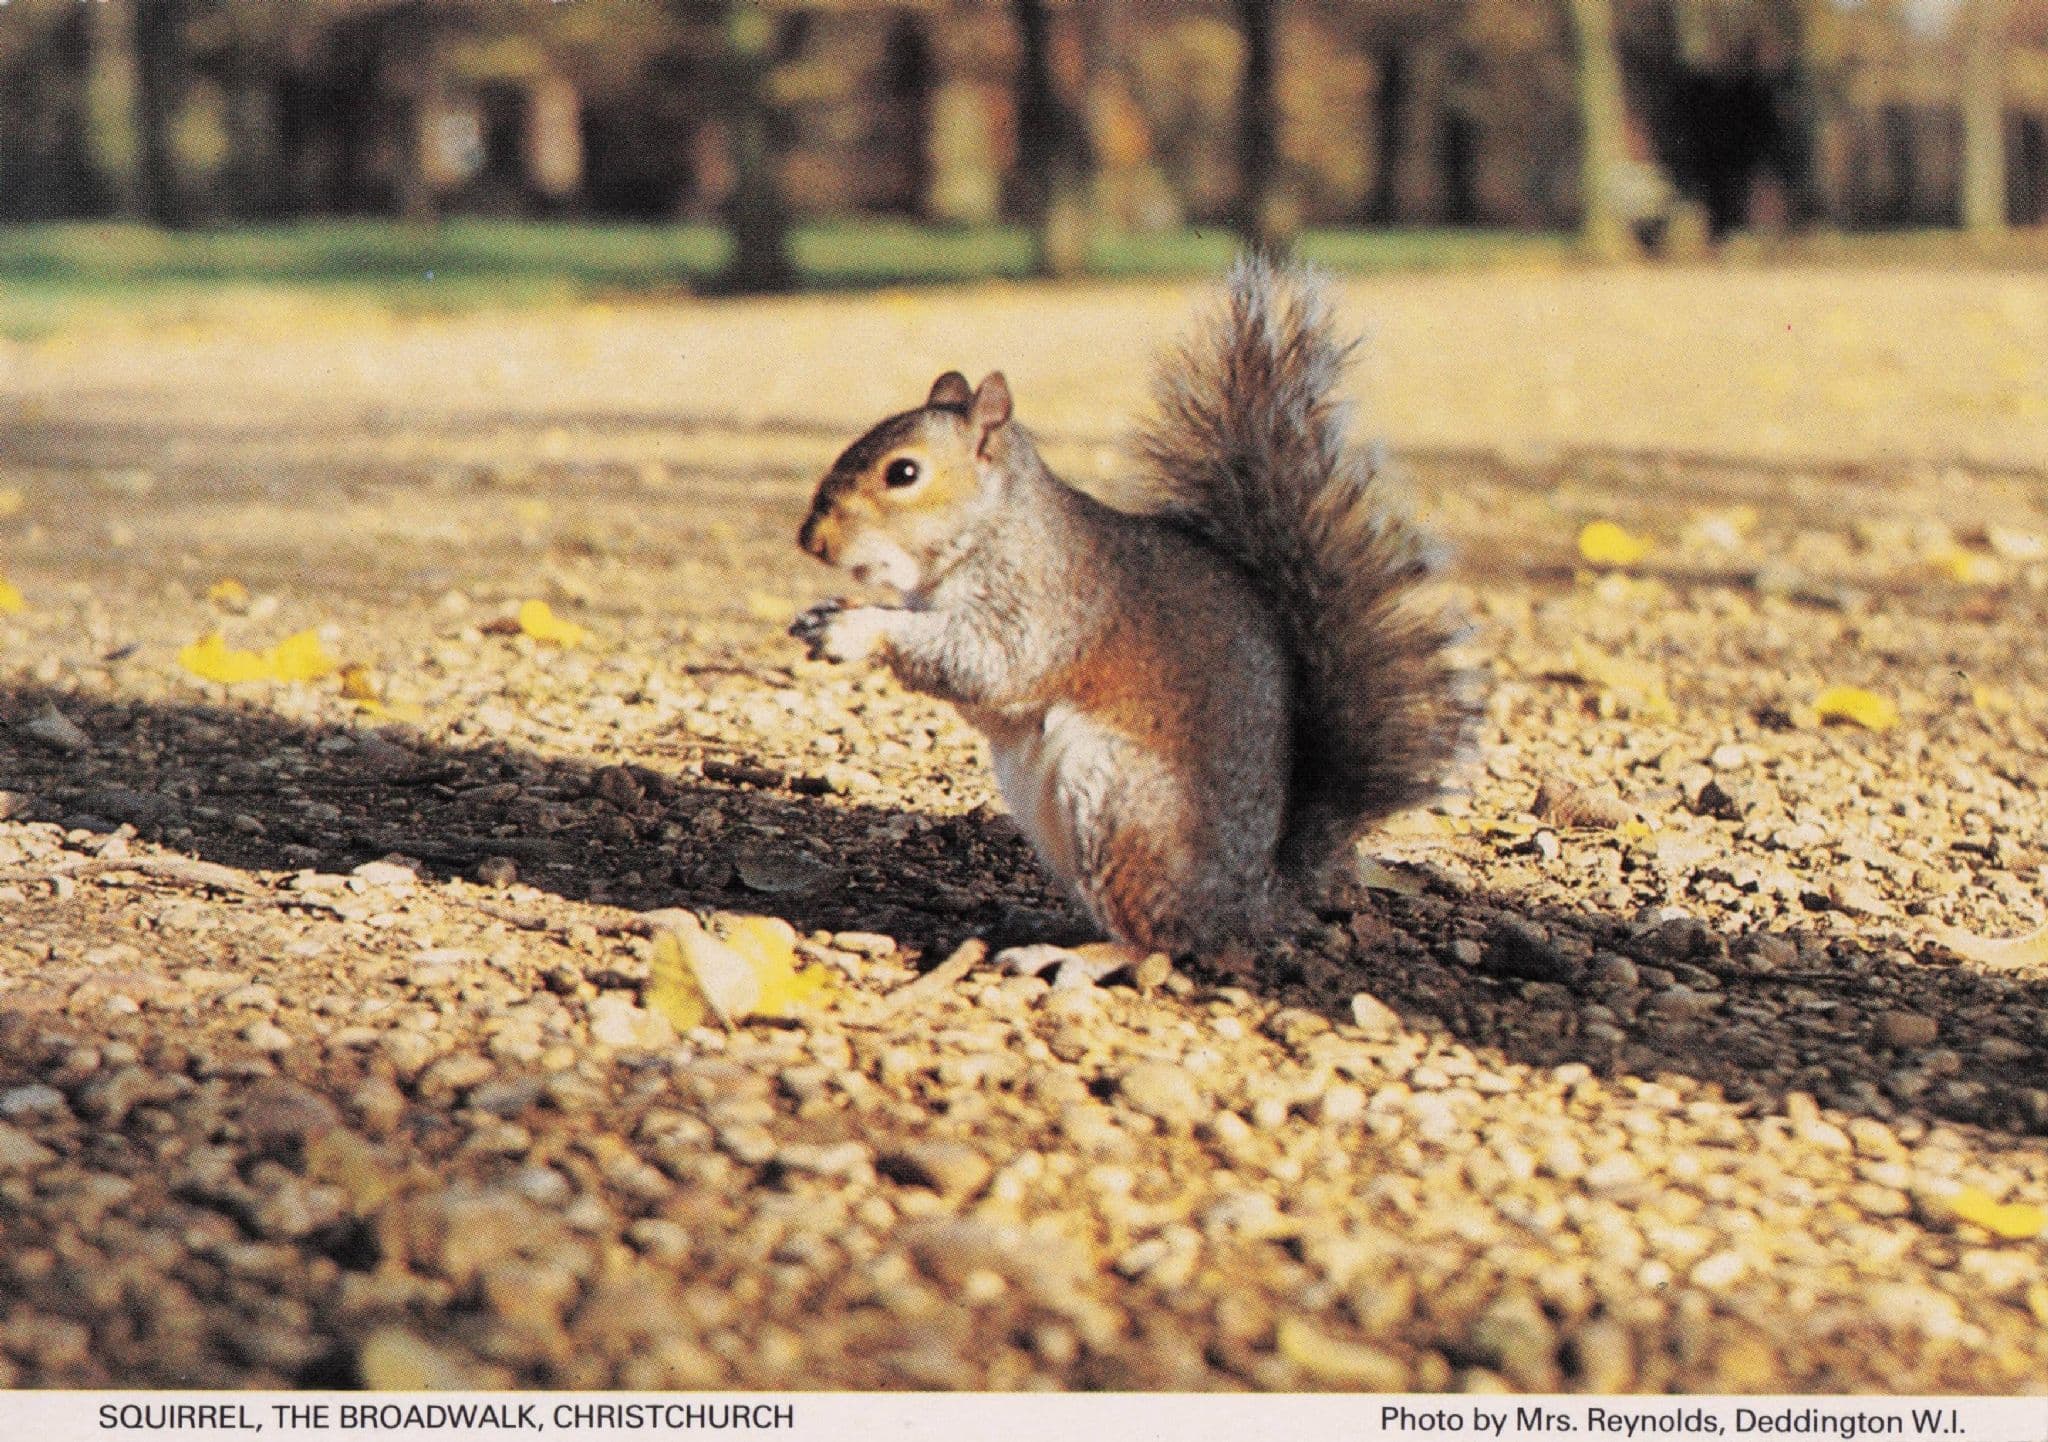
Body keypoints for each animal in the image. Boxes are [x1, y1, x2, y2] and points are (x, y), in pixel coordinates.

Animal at [791, 255, 1477, 960]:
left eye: (903, 473)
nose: (810, 540)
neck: (990, 528)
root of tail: (1247, 903)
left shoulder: (1045, 604)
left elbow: (988, 663)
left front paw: (855, 628)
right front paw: (825, 613)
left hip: (1116, 800)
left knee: (1154, 941)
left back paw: (1068, 954)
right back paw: (1042, 922)